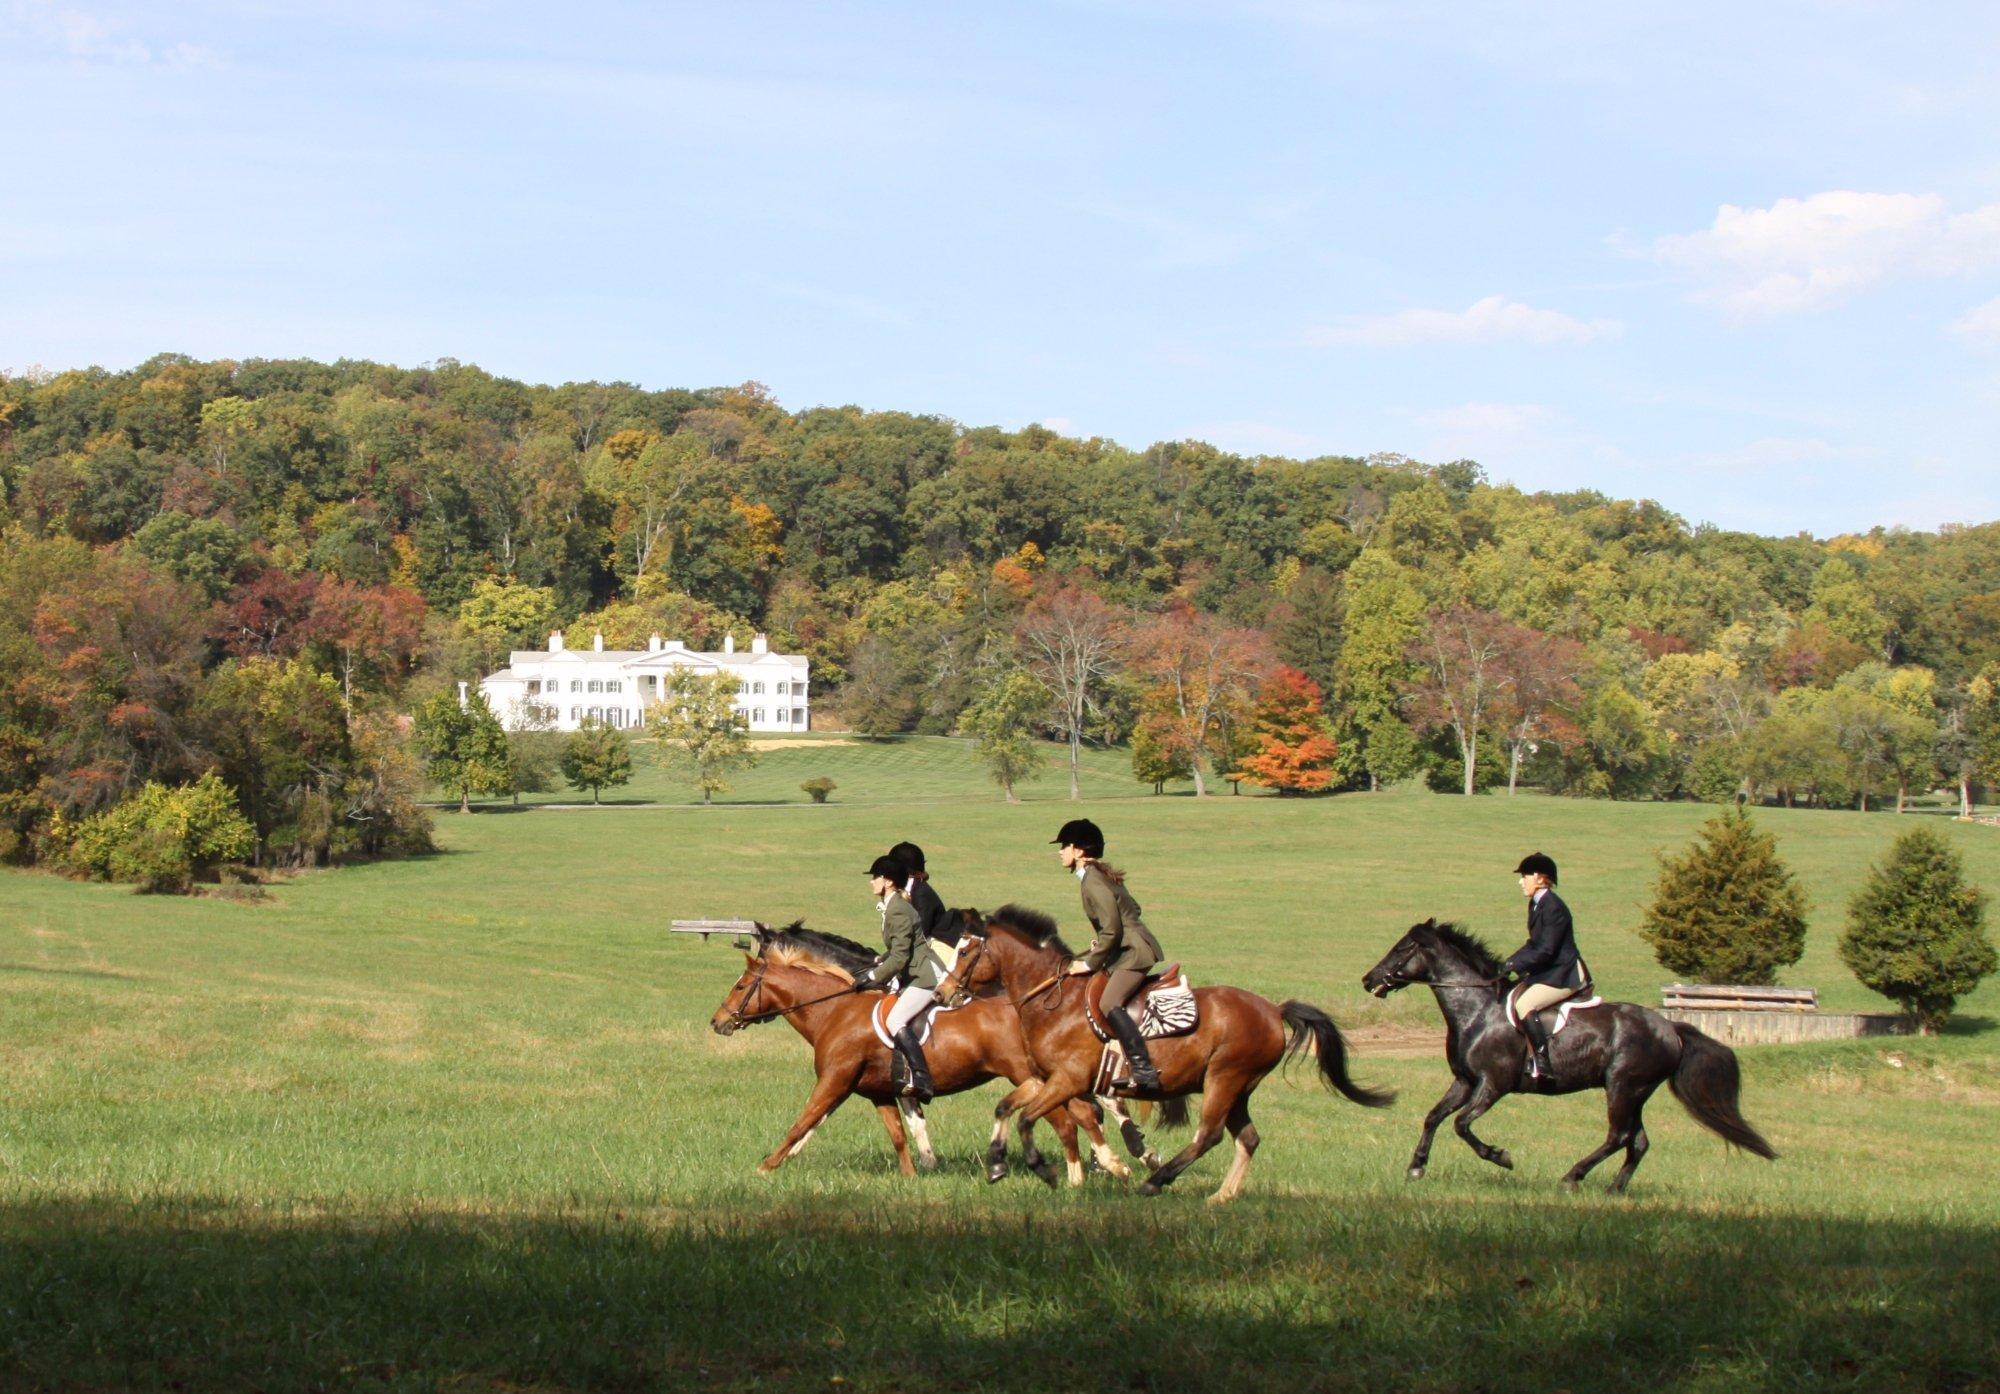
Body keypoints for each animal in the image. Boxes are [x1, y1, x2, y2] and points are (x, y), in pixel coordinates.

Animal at [712, 924, 1136, 1184]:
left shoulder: (835, 1081)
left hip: (1031, 1075)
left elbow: (803, 1121)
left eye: (740, 986)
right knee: (1084, 1113)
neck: (833, 1010)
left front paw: (767, 1166)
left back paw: (1093, 1169)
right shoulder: (878, 1091)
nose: (717, 1022)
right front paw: (914, 1174)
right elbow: (900, 1133)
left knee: (1074, 1117)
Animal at [940, 904, 1392, 1200]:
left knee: (1208, 1135)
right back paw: (1221, 1196)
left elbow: (1030, 1118)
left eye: (964, 951)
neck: (1053, 999)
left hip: (1224, 1079)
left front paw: (1045, 1170)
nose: (943, 994)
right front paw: (998, 1163)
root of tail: (1273, 1009)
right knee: (1247, 1138)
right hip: (1239, 1087)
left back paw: (1156, 1182)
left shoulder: (1068, 1079)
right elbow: (1007, 1108)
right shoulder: (1043, 1078)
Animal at [1368, 920, 1776, 1192]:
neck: (1477, 1010)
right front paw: (1416, 1167)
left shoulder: (1493, 1084)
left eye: (1402, 948)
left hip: (1623, 1087)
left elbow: (1461, 1124)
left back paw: (1571, 1177)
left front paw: (1502, 1157)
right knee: (1637, 1142)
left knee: (1618, 1136)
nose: (1368, 980)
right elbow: (1433, 1117)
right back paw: (1614, 1190)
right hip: (1635, 1092)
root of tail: (1670, 1028)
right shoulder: (1465, 1081)